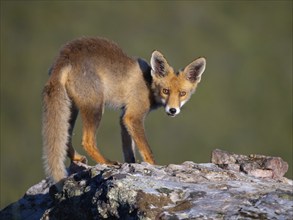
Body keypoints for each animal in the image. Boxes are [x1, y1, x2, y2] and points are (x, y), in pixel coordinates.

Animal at [41, 36, 205, 187]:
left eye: (182, 93)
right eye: (166, 91)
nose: (173, 110)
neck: (148, 83)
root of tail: (65, 56)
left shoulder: (124, 117)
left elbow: (129, 150)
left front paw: (132, 166)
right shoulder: (133, 117)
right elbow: (147, 151)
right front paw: (154, 167)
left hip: (71, 109)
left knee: (66, 138)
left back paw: (77, 158)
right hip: (95, 107)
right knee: (87, 141)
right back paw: (107, 162)